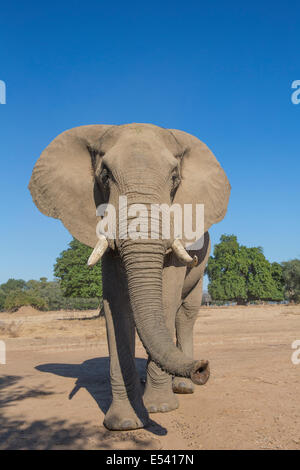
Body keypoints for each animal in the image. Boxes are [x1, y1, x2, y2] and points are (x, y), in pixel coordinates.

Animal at [28, 122, 230, 430]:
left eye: (175, 178)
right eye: (104, 176)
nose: (202, 368)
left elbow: (166, 299)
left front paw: (159, 408)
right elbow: (117, 307)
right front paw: (125, 423)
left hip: (203, 262)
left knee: (185, 315)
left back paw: (182, 387)